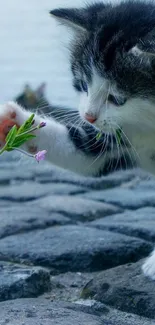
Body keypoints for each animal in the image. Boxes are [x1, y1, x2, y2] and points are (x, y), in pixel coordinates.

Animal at [0, 0, 155, 278]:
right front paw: (13, 121)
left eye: (118, 99)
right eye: (82, 84)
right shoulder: (116, 136)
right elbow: (84, 154)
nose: (88, 116)